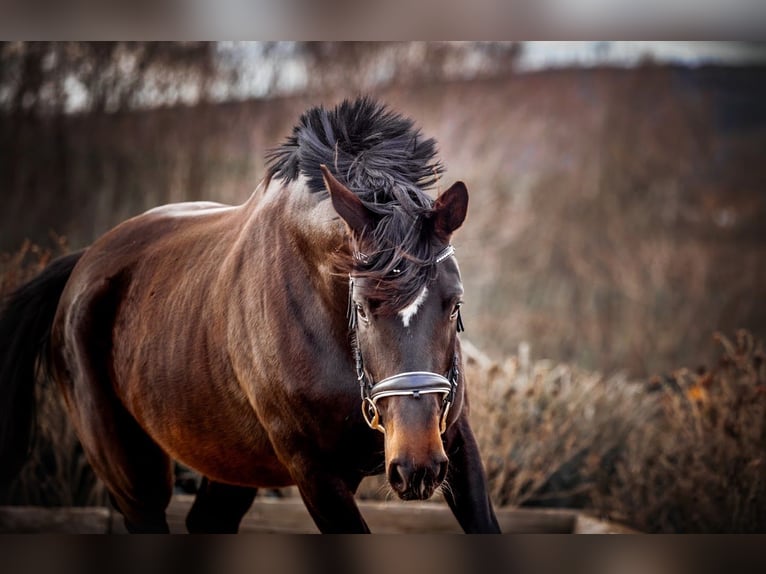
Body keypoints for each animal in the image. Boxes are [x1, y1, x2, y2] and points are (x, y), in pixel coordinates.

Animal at [0, 97, 500, 533]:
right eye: (360, 308)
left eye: (454, 304)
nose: (416, 467)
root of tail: (83, 265)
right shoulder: (314, 471)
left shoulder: (455, 441)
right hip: (133, 475)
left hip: (233, 462)